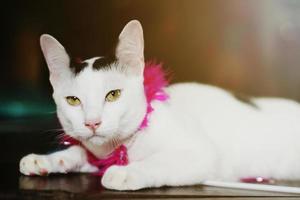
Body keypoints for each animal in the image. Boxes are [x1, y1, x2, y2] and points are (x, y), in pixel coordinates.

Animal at [20, 19, 300, 191]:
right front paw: (48, 160)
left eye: (113, 95)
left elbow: (161, 161)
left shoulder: (201, 153)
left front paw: (127, 172)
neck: (125, 146)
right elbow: (80, 153)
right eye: (73, 100)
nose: (92, 123)